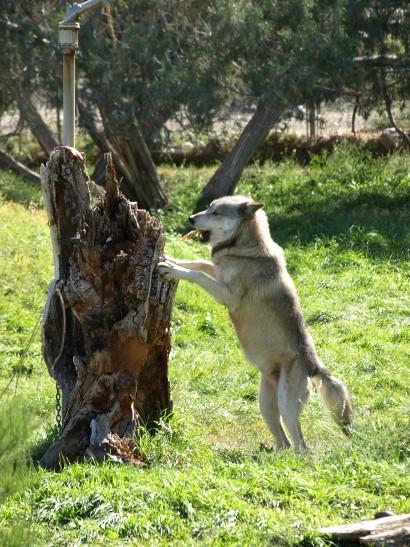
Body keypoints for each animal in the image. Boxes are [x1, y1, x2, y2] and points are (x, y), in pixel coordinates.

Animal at [157, 195, 352, 452]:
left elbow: (197, 274)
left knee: (301, 447)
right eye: (208, 207)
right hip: (265, 405)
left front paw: (172, 269)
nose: (190, 218)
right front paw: (170, 259)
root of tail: (314, 365)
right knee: (284, 443)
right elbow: (198, 262)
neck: (245, 249)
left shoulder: (227, 296)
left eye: (216, 212)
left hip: (287, 407)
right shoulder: (218, 273)